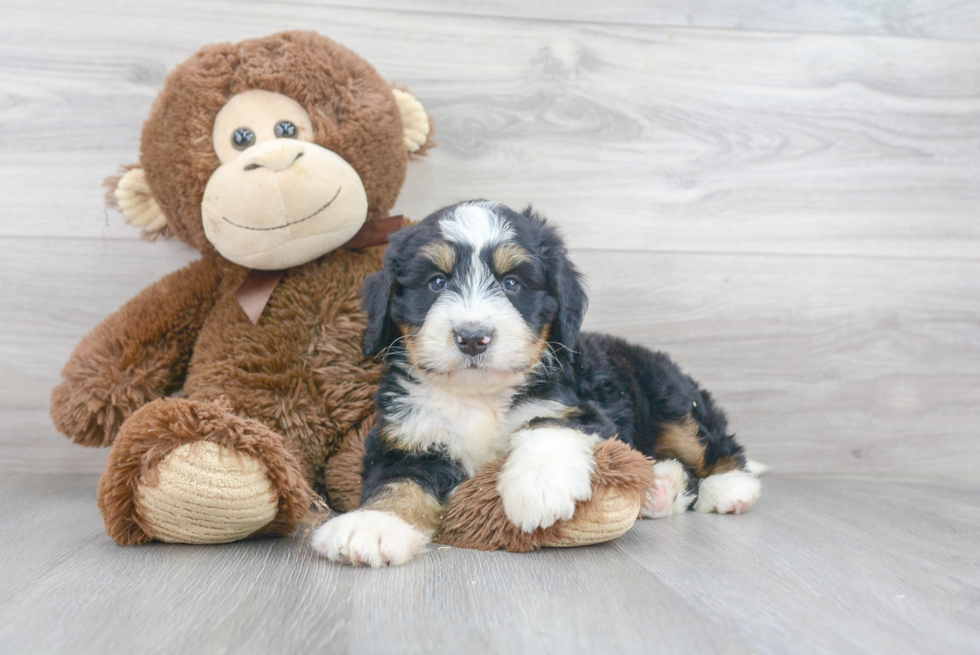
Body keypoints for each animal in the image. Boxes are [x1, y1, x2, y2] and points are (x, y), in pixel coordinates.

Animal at [310, 201, 760, 568]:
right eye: (436, 281)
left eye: (512, 284)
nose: (473, 337)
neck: (479, 394)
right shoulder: (407, 437)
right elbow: (397, 482)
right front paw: (372, 526)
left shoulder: (585, 406)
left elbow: (545, 422)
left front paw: (540, 485)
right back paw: (662, 489)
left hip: (670, 396)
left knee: (710, 444)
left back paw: (729, 487)